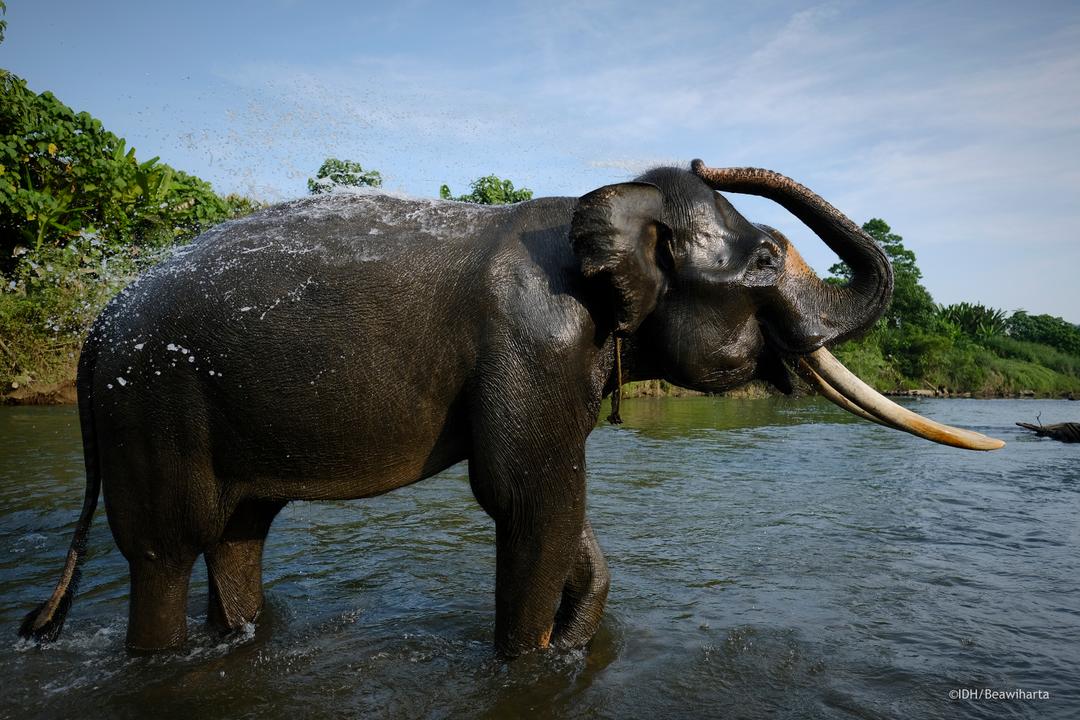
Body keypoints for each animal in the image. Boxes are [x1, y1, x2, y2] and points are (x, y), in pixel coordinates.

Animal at [16, 160, 1002, 656]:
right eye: (763, 258)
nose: (700, 155)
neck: (598, 199)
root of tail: (95, 331)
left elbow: (556, 509)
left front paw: (570, 639)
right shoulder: (536, 339)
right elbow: (531, 501)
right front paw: (534, 658)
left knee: (240, 534)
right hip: (153, 408)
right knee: (166, 548)